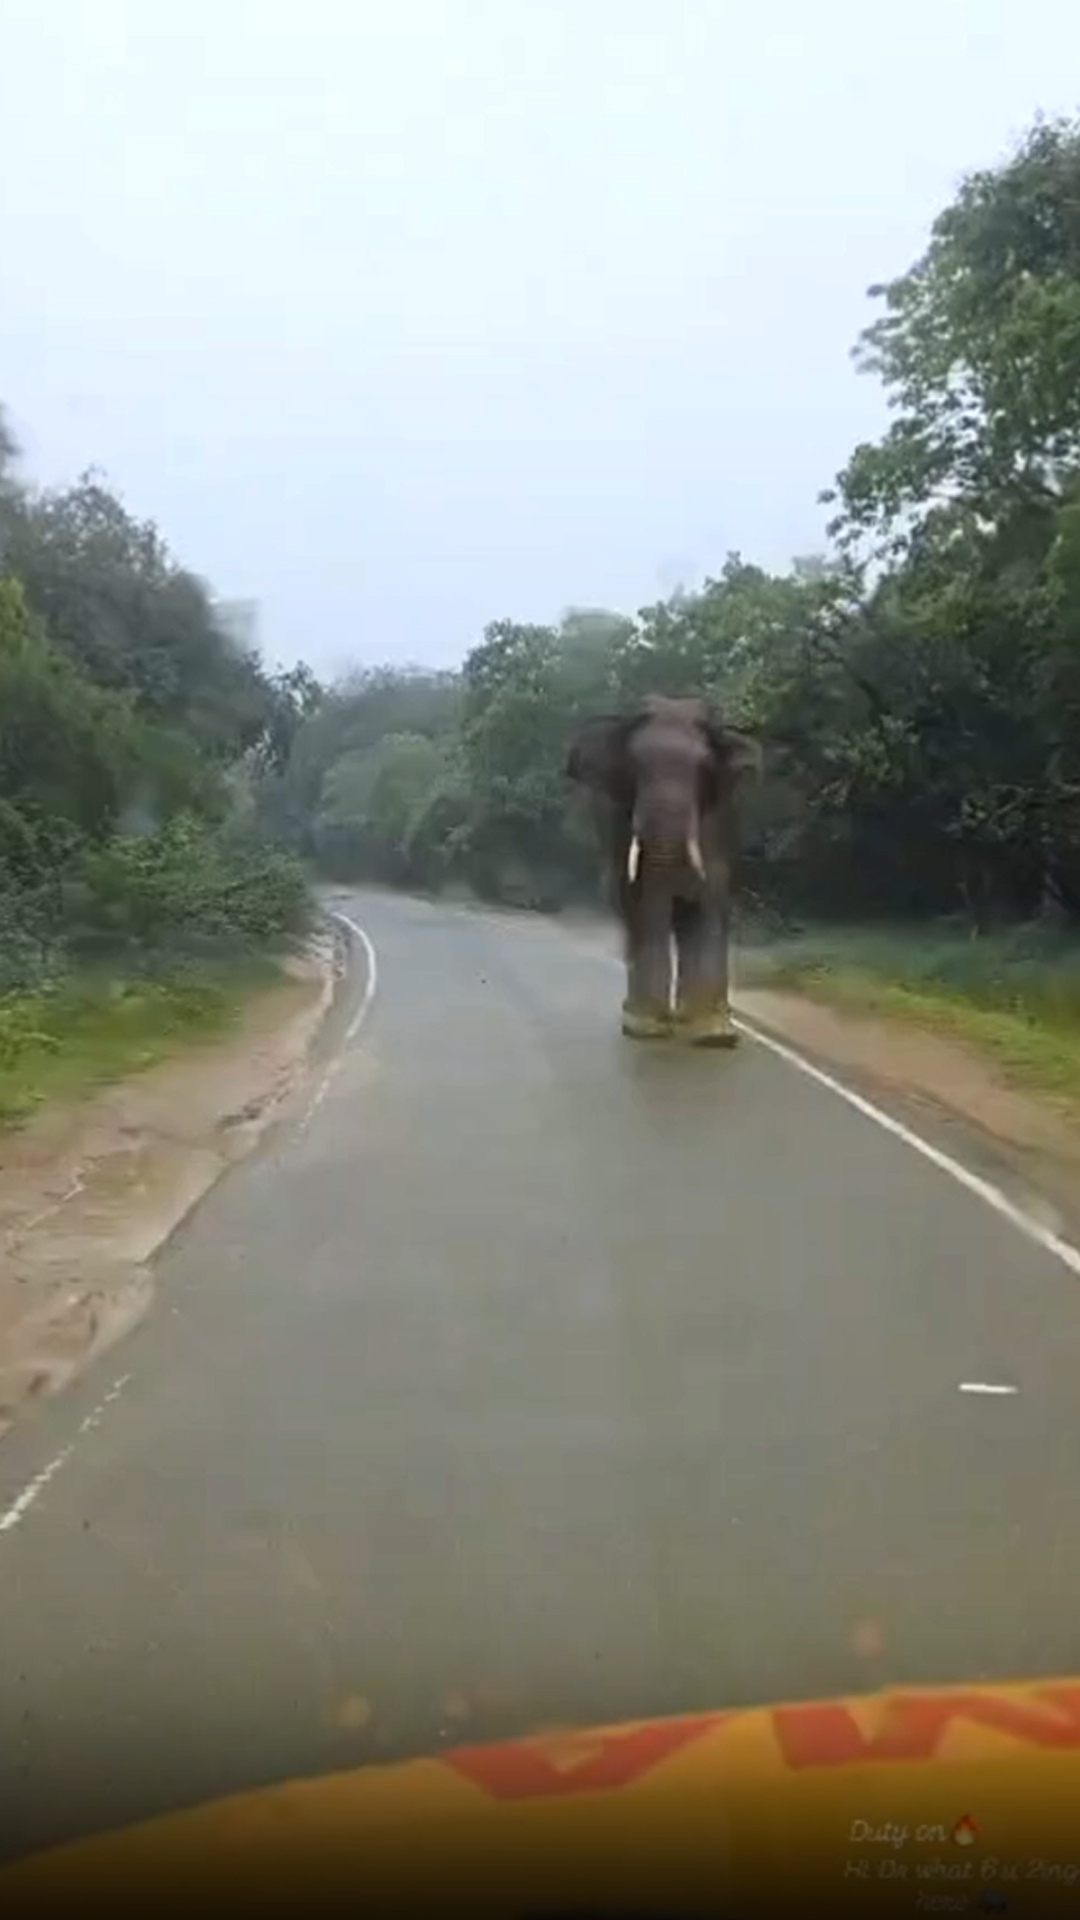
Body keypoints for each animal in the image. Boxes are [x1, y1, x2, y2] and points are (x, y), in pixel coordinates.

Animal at [565, 694, 762, 1044]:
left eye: (704, 769)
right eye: (634, 768)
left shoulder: (721, 819)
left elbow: (711, 898)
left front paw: (714, 1035)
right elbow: (645, 901)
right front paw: (647, 1028)